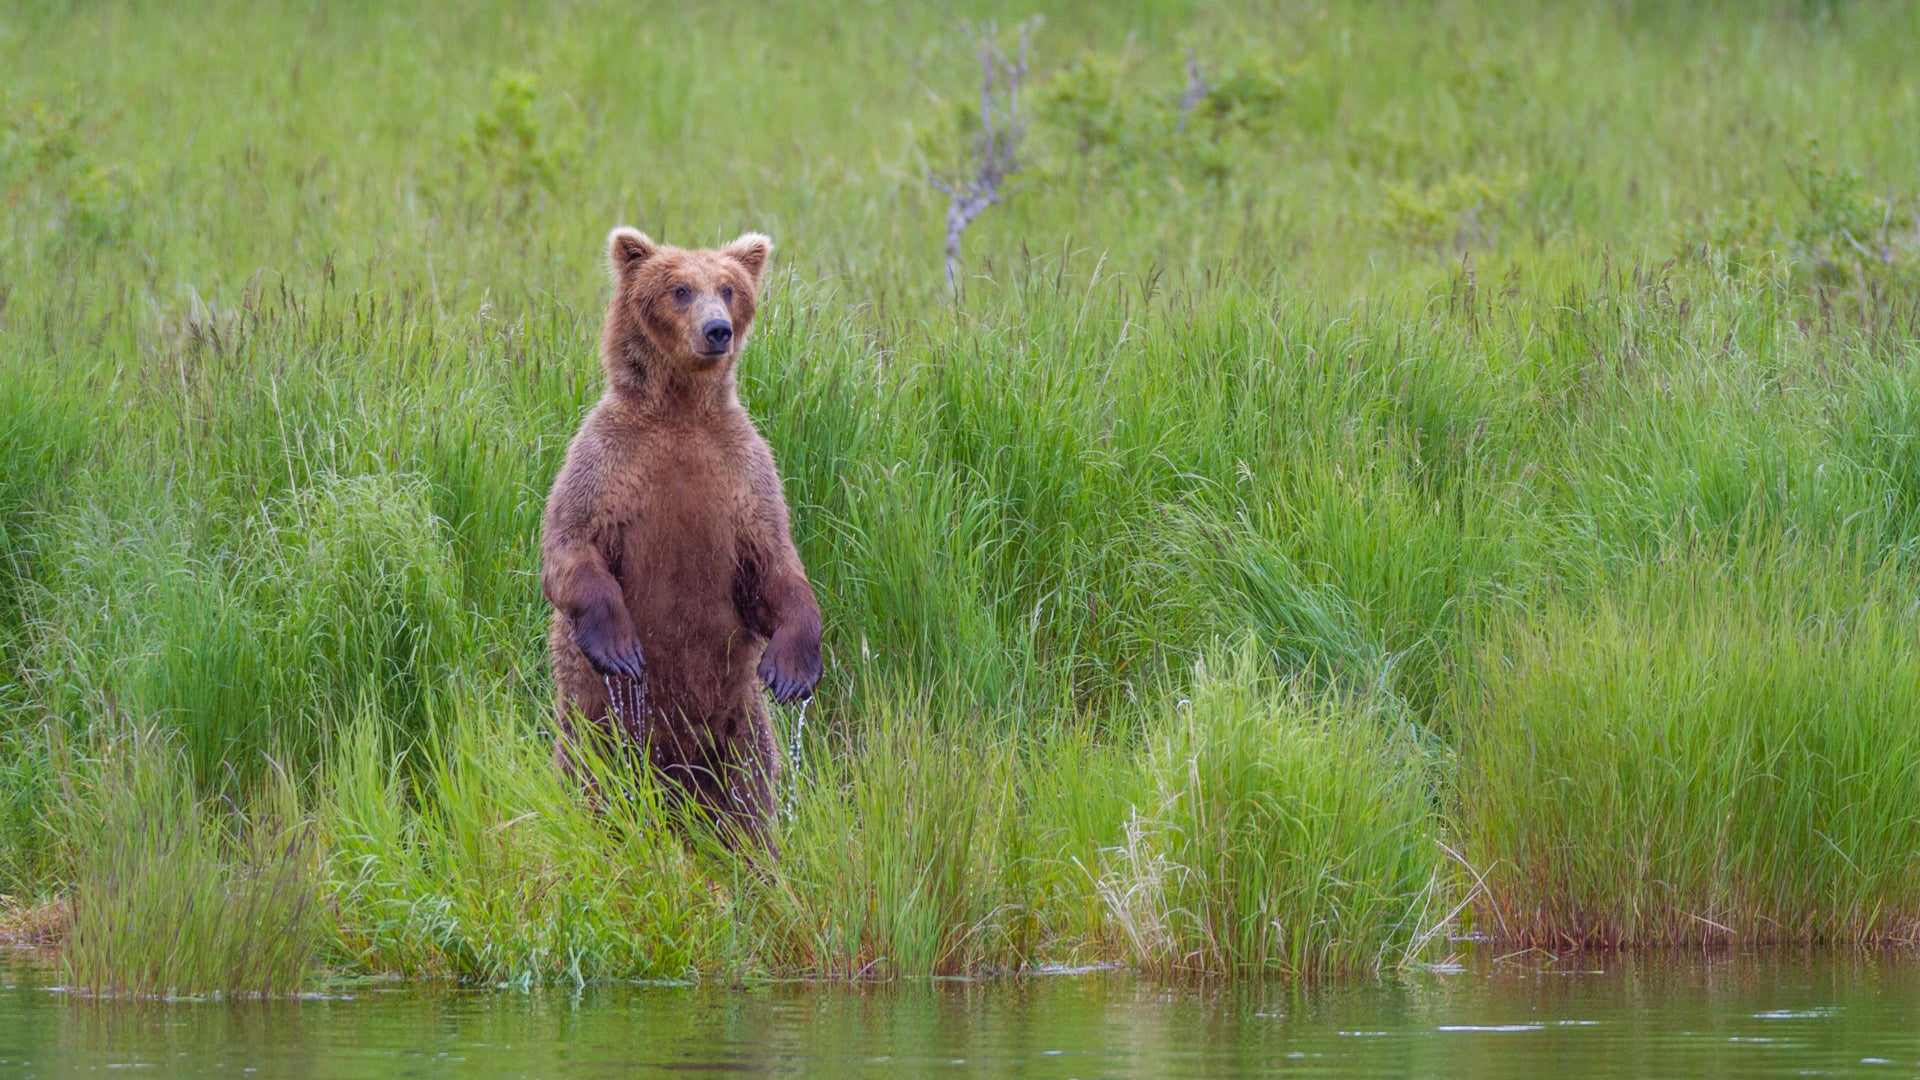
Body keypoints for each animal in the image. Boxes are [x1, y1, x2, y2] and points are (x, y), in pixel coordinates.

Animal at [540, 226, 822, 853]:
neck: (680, 412)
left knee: (750, 795)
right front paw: (620, 646)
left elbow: (775, 566)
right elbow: (569, 548)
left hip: (736, 727)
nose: (717, 330)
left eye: (729, 288)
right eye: (680, 289)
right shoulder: (606, 462)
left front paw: (792, 667)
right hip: (597, 727)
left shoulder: (744, 474)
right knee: (590, 782)